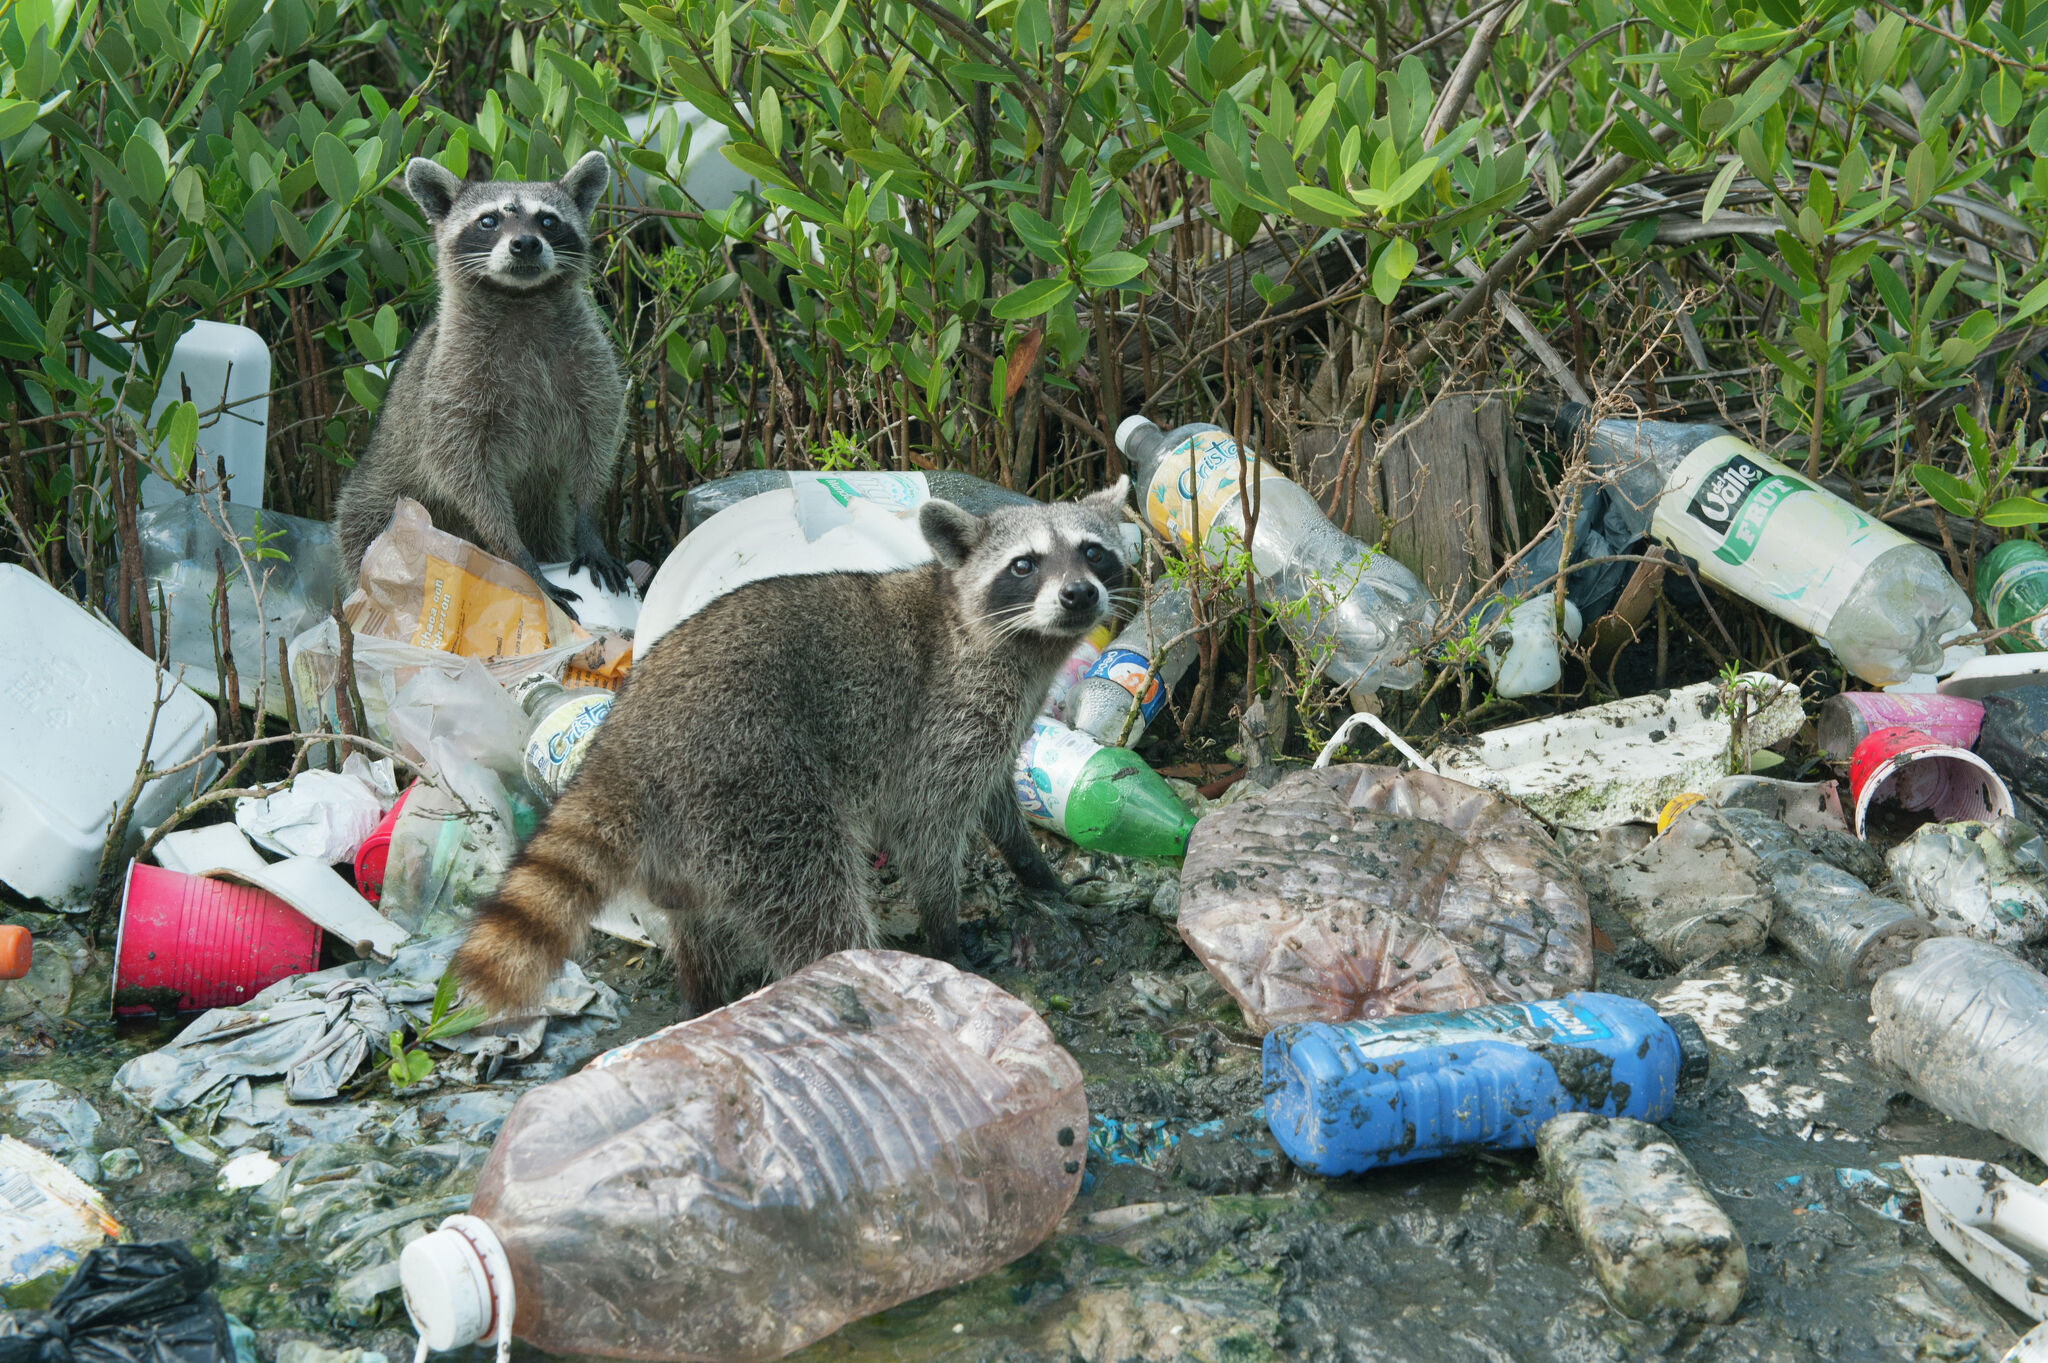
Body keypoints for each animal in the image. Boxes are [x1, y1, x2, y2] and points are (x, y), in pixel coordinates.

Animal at [332, 151, 630, 614]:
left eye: (548, 221)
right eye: (488, 220)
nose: (525, 243)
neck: (520, 299)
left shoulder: (589, 363)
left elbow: (597, 435)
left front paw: (589, 516)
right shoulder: (452, 386)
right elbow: (465, 471)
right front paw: (513, 553)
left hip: (541, 506)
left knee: (548, 524)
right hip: (374, 499)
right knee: (362, 533)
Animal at [452, 483, 1132, 1017]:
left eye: (1093, 552)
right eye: (1024, 565)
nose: (1079, 595)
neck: (1018, 640)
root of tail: (625, 743)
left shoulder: (994, 720)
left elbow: (994, 798)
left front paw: (1034, 867)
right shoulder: (944, 712)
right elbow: (929, 827)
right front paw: (947, 931)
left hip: (690, 842)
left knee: (703, 927)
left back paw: (703, 998)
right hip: (755, 787)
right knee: (818, 906)